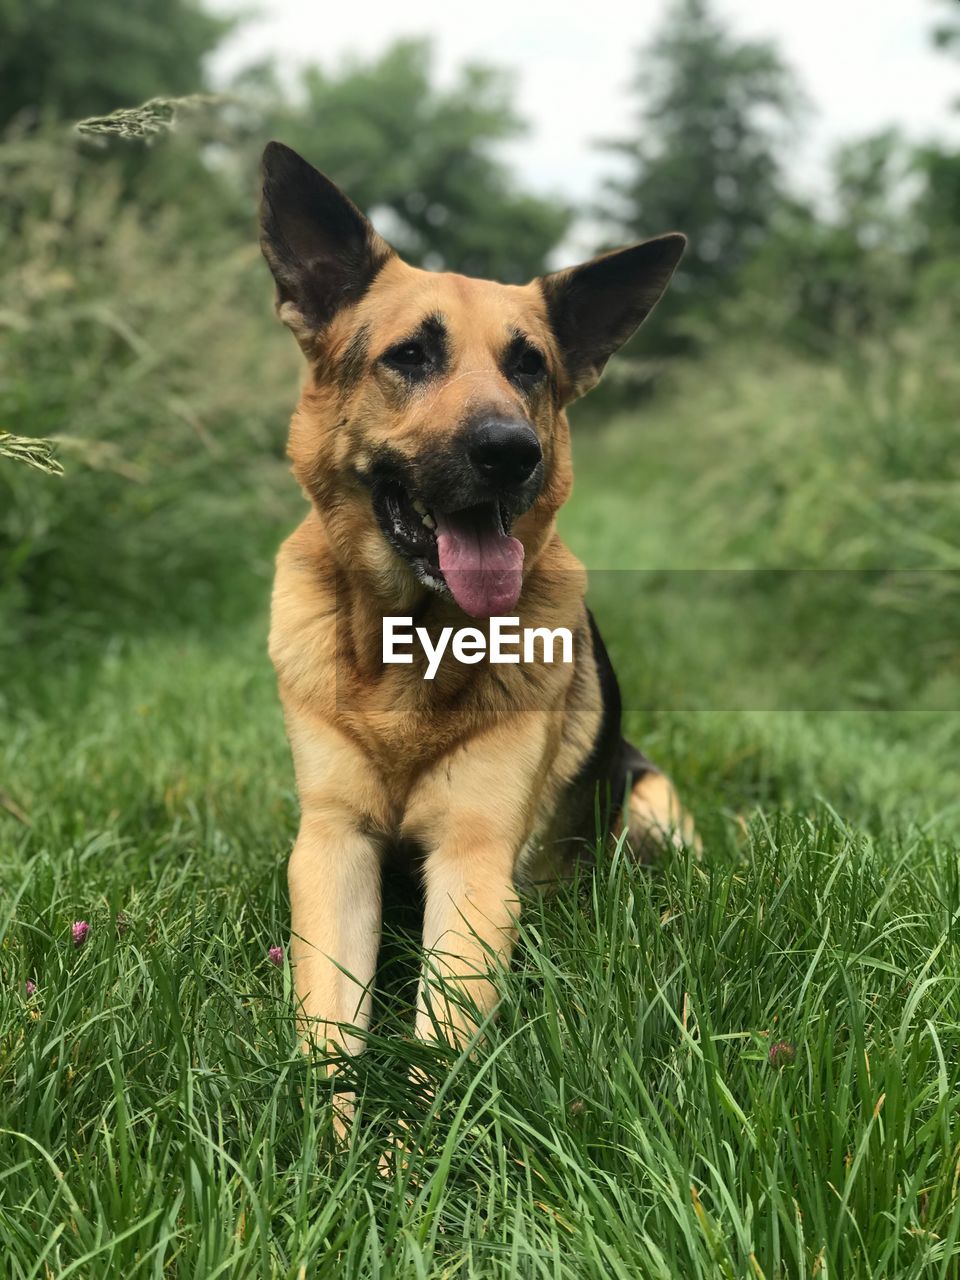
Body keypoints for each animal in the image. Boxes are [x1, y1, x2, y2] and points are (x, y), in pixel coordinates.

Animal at [261, 145, 701, 1090]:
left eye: (528, 365)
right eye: (410, 355)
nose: (510, 453)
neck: (413, 645)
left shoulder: (474, 864)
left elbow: (436, 1056)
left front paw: (411, 1130)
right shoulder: (331, 849)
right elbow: (326, 1039)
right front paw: (320, 1125)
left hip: (653, 806)